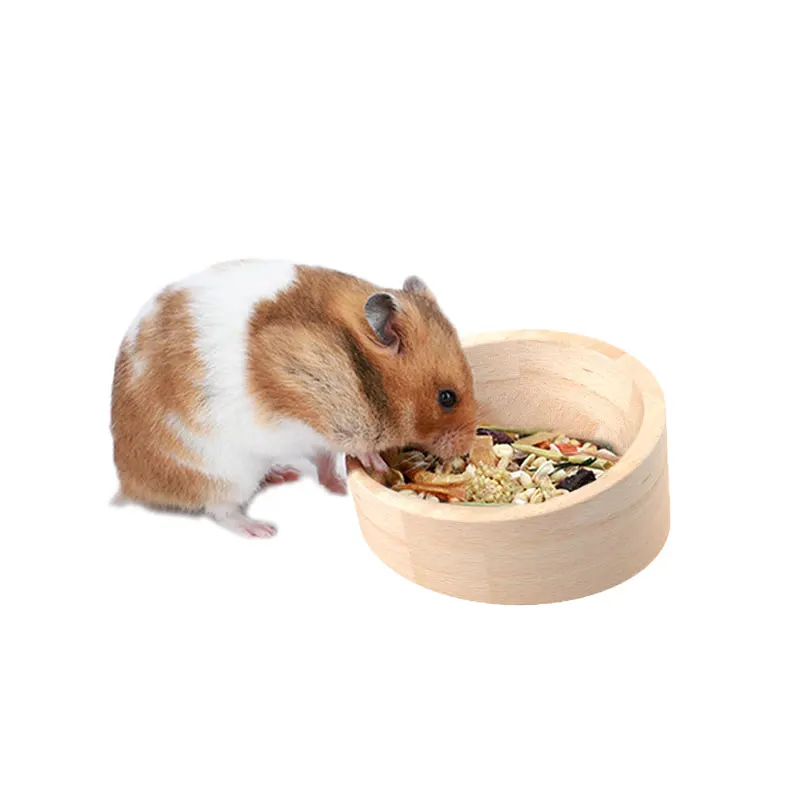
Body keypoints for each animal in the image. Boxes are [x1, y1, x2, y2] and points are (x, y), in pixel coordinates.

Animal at [111, 260, 477, 537]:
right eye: (446, 398)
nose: (467, 446)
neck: (362, 375)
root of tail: (130, 484)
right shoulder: (300, 404)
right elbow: (350, 447)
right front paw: (374, 463)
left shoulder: (317, 433)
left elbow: (326, 455)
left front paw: (343, 483)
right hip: (220, 472)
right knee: (221, 511)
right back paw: (261, 529)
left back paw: (285, 475)